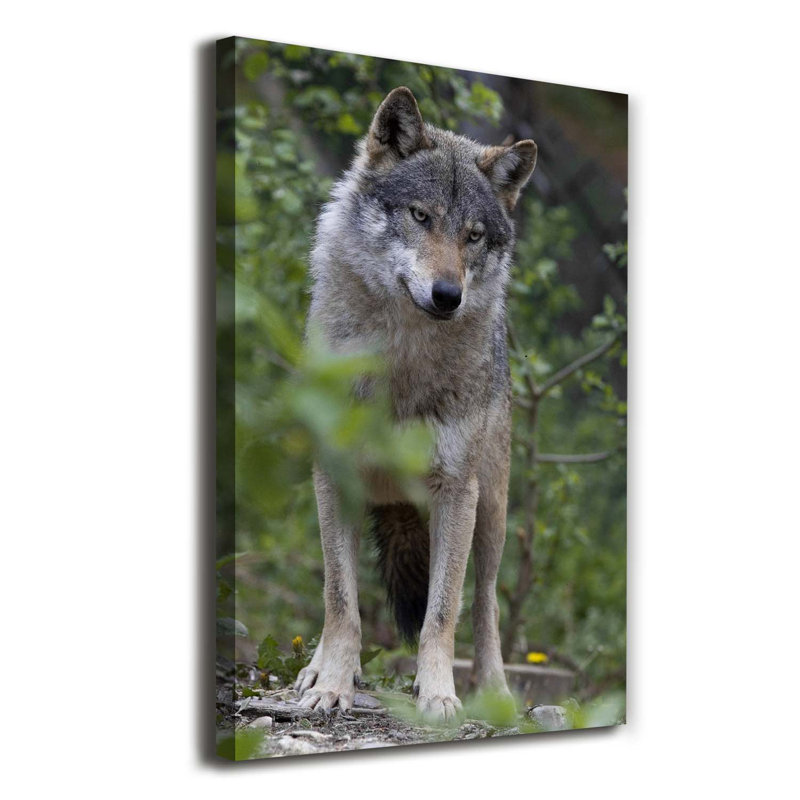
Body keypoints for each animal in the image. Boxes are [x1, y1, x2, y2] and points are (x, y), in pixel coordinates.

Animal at [294, 87, 537, 722]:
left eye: (473, 235)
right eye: (420, 216)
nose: (448, 295)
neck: (399, 365)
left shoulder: (457, 490)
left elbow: (443, 612)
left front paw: (439, 696)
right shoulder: (333, 474)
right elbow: (340, 600)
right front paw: (332, 684)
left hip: (492, 511)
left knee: (487, 603)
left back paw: (494, 692)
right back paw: (316, 670)